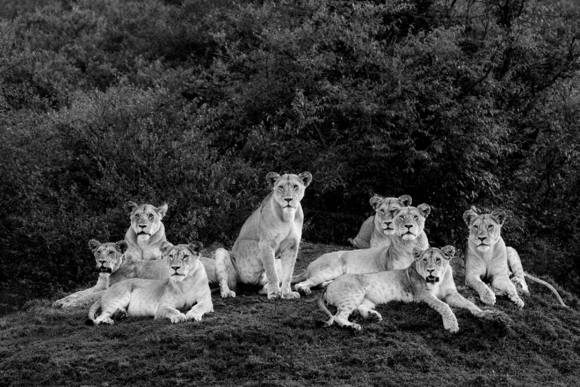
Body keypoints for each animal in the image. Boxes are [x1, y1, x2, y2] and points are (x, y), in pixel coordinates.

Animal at [214, 172, 312, 300]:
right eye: (281, 187)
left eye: (295, 186)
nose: (288, 199)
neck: (288, 216)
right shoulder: (266, 244)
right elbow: (271, 272)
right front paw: (274, 293)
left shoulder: (291, 246)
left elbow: (288, 274)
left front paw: (287, 294)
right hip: (221, 253)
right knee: (224, 281)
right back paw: (227, 293)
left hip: (278, 261)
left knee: (263, 289)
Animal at [294, 205, 430, 296]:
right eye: (401, 217)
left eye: (416, 217)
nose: (408, 226)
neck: (410, 245)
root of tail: (312, 263)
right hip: (333, 269)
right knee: (303, 283)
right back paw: (304, 289)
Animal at [318, 247, 494, 332]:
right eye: (424, 260)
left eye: (438, 260)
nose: (431, 271)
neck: (438, 281)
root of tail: (329, 285)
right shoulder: (424, 295)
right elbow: (443, 306)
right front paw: (451, 325)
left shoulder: (451, 293)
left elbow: (468, 303)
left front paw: (484, 313)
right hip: (354, 294)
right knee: (339, 316)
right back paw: (353, 327)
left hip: (366, 299)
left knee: (360, 308)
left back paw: (373, 316)